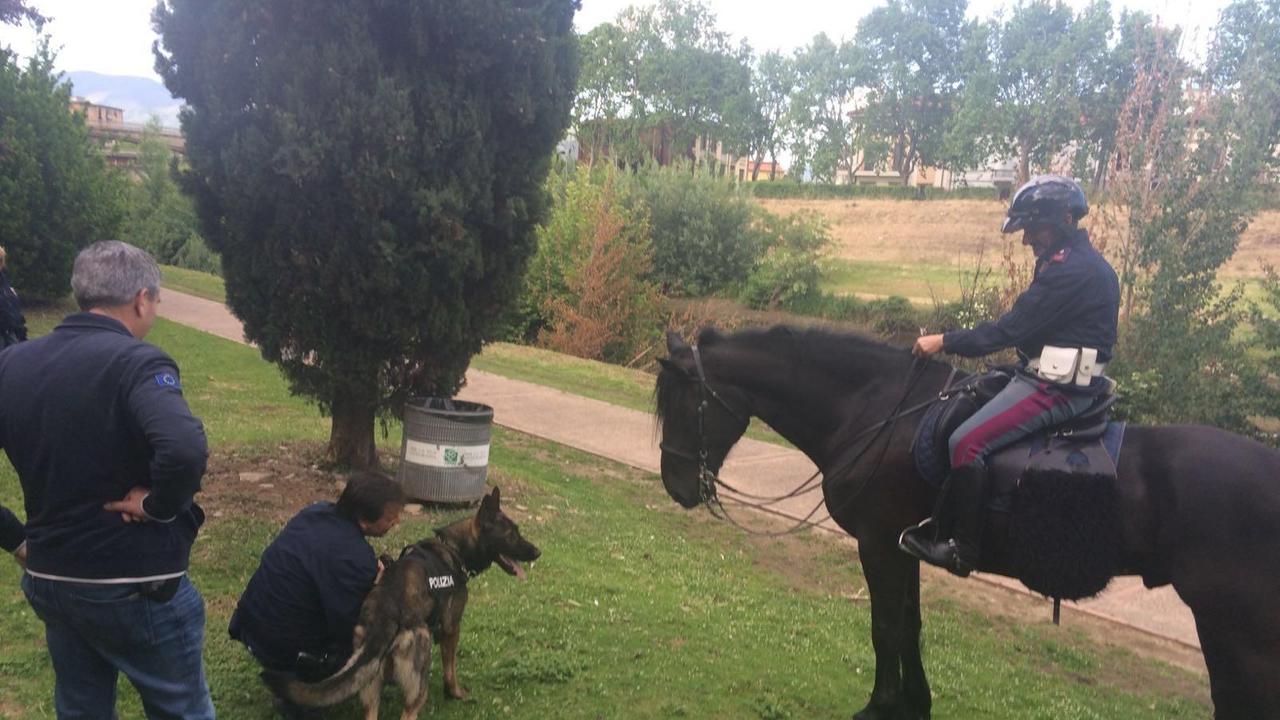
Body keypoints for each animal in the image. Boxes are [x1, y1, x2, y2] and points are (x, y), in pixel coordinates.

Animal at [654, 325, 1280, 720]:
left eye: (684, 404)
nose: (677, 485)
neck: (878, 413)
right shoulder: (901, 547)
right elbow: (910, 628)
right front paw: (913, 706)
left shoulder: (878, 545)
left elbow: (886, 629)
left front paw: (879, 707)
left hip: (1238, 633)